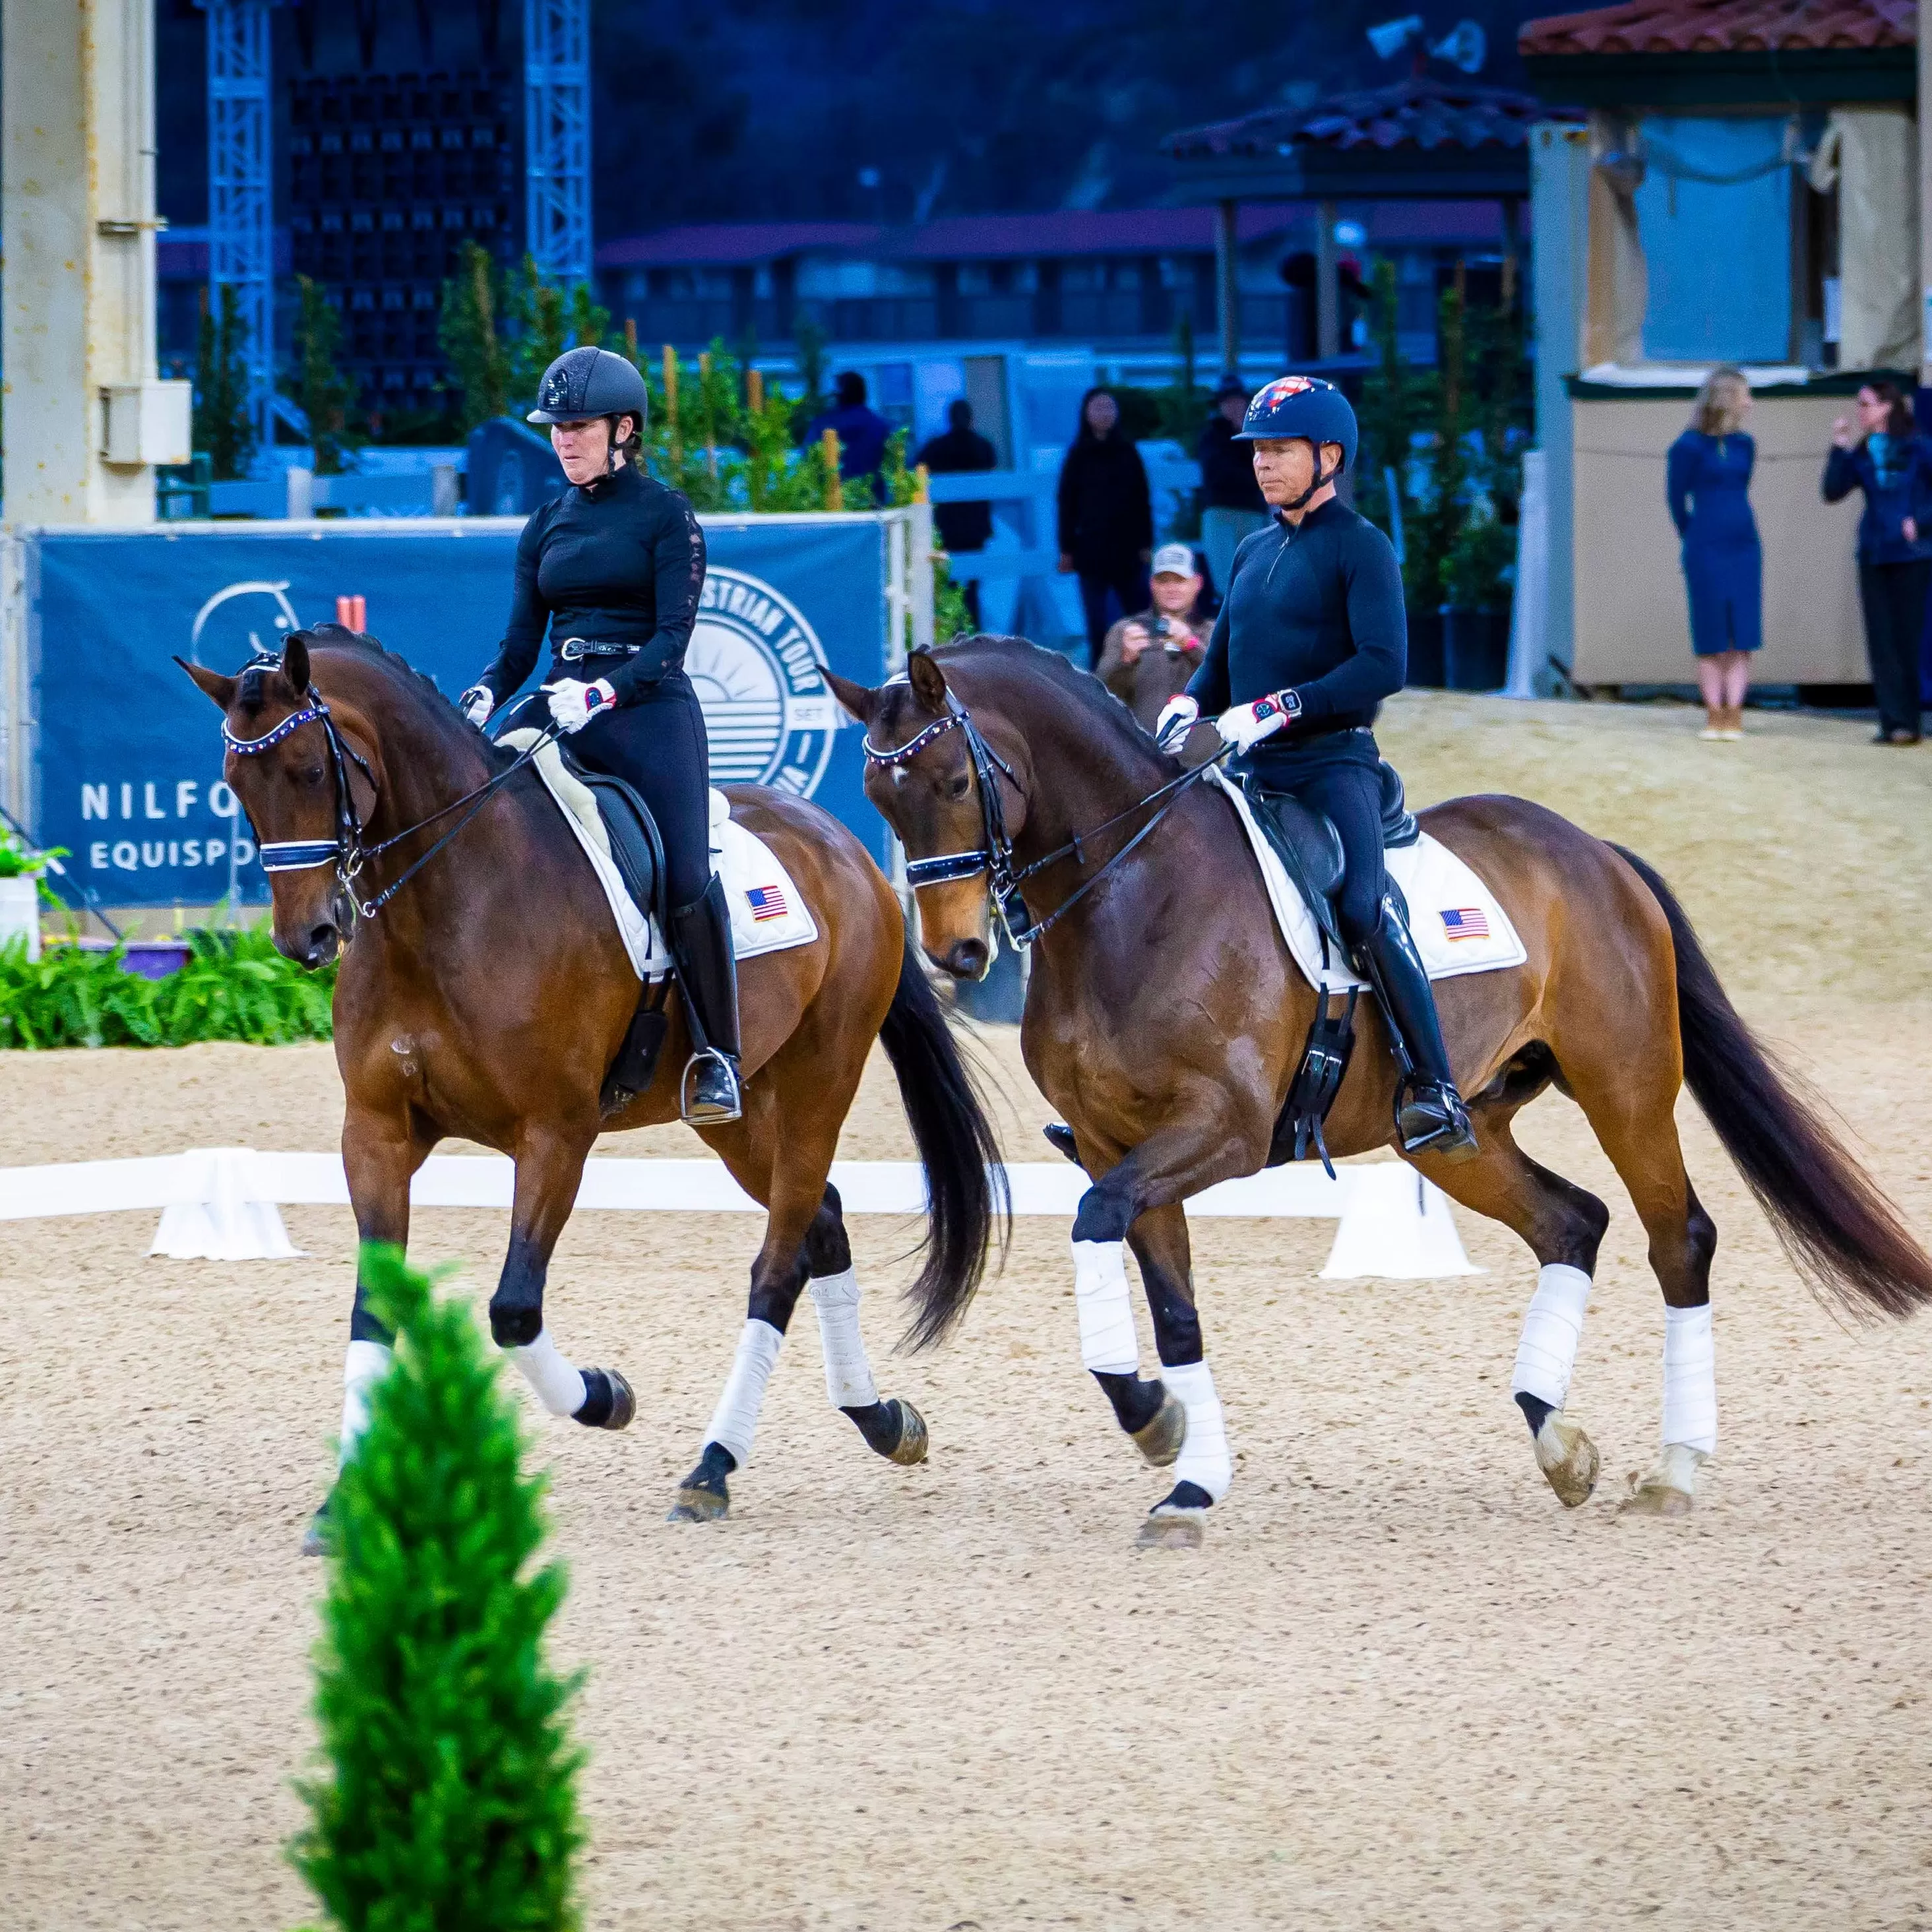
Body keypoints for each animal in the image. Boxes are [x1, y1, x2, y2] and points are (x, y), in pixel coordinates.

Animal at [179, 625, 1005, 1545]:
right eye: (234, 784)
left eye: (308, 772)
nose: (309, 938)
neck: (445, 904)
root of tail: (846, 846)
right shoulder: (378, 1132)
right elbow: (375, 1305)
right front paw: (345, 1500)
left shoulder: (555, 1135)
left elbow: (513, 1309)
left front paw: (606, 1397)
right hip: (731, 1112)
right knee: (819, 1221)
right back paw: (880, 1419)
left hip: (820, 1081)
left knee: (777, 1261)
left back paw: (711, 1469)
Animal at [826, 641, 1932, 1545]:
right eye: (879, 802)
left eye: (954, 779)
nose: (958, 956)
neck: (1126, 896)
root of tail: (1595, 851)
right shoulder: (1115, 1145)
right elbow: (1173, 1310)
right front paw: (1185, 1471)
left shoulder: (1216, 1131)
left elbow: (1096, 1224)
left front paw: (1157, 1427)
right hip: (1453, 1133)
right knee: (1571, 1221)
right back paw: (1558, 1440)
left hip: (1622, 1086)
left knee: (1679, 1239)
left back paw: (1675, 1470)